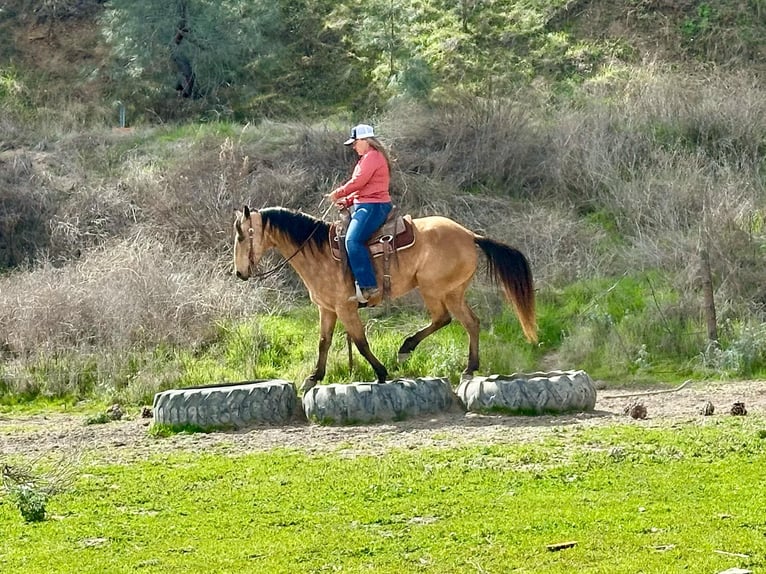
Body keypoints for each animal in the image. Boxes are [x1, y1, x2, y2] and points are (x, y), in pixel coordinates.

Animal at [231, 206, 536, 392]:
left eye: (242, 236)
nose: (239, 273)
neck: (317, 252)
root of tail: (470, 235)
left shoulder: (345, 308)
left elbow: (360, 342)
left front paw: (380, 372)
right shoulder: (327, 309)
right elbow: (323, 342)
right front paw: (313, 378)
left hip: (434, 289)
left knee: (445, 318)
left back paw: (408, 349)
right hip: (453, 291)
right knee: (470, 323)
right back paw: (467, 368)